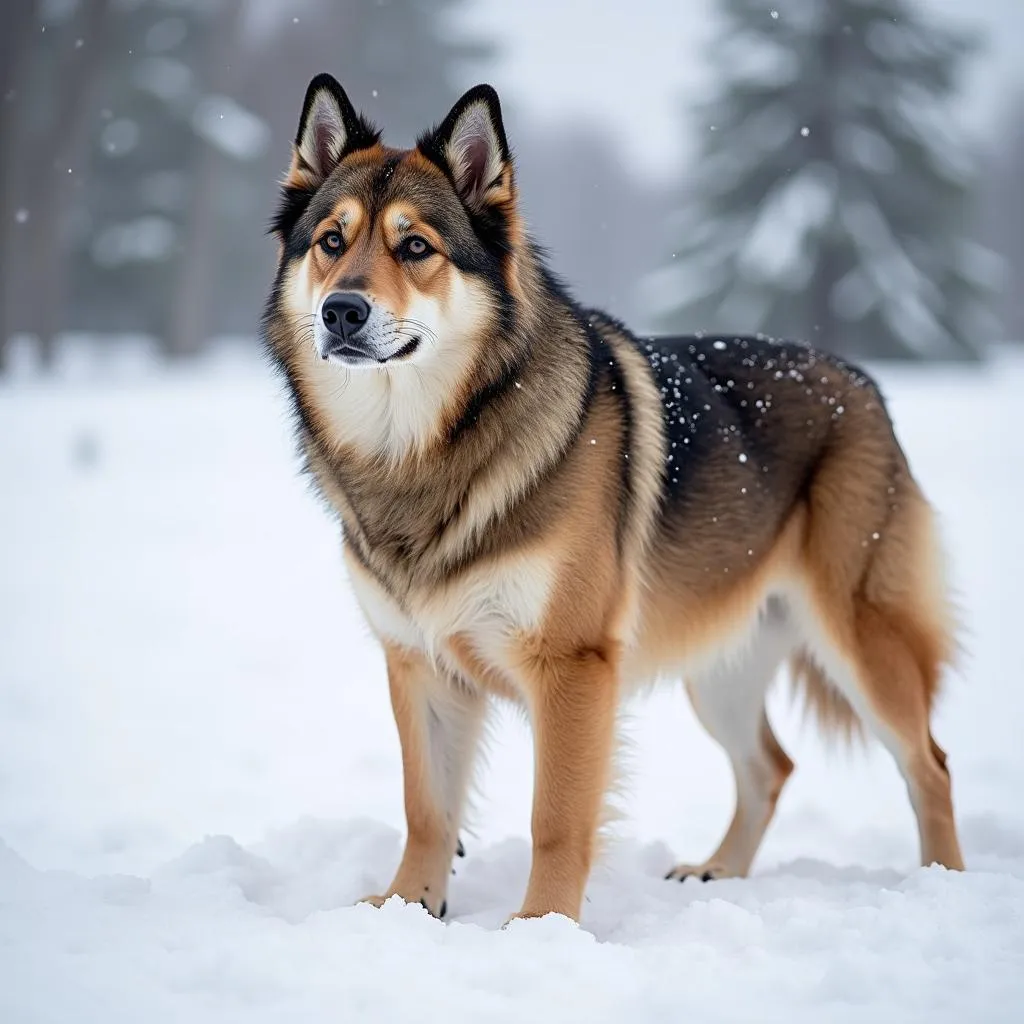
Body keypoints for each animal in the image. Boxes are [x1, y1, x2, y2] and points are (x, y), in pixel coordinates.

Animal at [260, 72, 962, 921]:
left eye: (416, 247)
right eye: (331, 242)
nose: (342, 311)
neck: (423, 452)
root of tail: (861, 381)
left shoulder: (573, 667)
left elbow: (556, 819)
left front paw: (541, 927)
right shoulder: (418, 665)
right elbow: (426, 808)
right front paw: (406, 908)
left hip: (861, 642)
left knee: (929, 764)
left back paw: (945, 886)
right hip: (720, 668)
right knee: (772, 766)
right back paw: (717, 874)